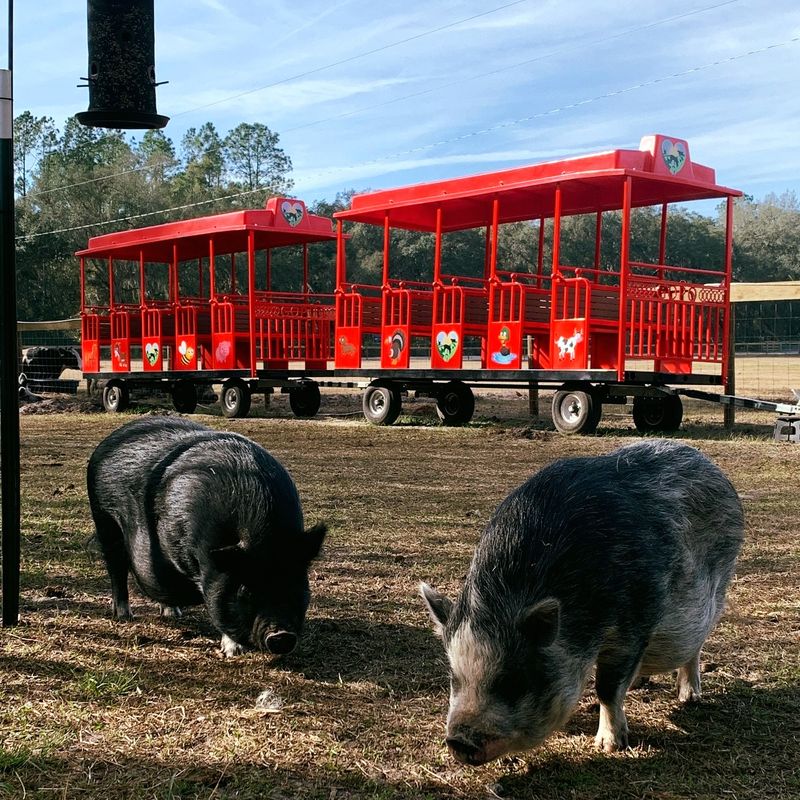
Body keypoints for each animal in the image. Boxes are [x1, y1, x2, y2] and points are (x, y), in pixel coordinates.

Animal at [87, 416, 326, 657]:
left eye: (294, 581)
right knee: (116, 569)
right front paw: (234, 652)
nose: (282, 635)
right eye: (244, 590)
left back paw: (173, 613)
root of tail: (107, 442)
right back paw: (125, 615)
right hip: (104, 520)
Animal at [420, 439, 744, 765]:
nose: (458, 741)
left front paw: (610, 746)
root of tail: (709, 464)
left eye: (513, 681)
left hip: (718, 588)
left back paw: (690, 698)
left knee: (696, 644)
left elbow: (607, 687)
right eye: (455, 678)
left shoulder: (634, 621)